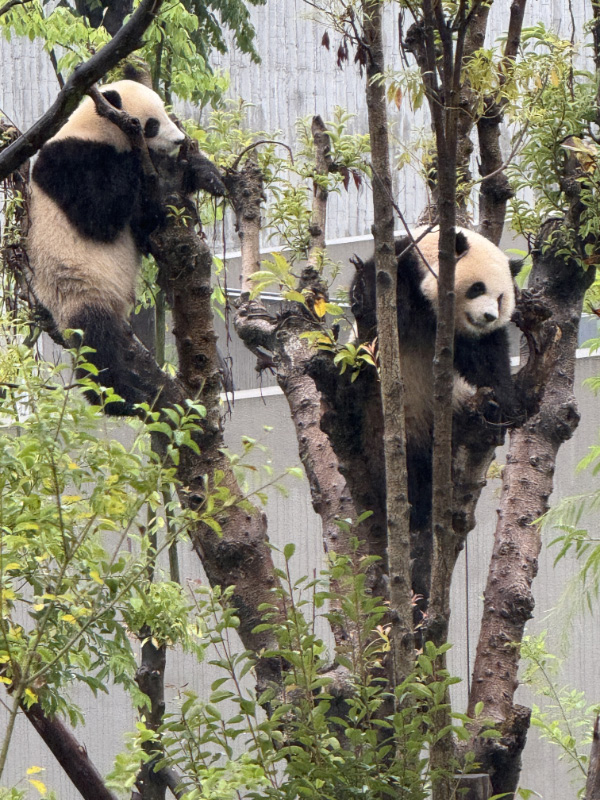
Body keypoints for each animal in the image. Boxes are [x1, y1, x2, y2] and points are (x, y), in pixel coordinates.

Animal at [27, 79, 225, 412]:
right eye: (152, 123)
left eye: (167, 114)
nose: (179, 139)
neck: (94, 129)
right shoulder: (70, 161)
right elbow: (99, 214)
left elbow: (155, 204)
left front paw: (209, 175)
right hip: (78, 288)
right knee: (95, 345)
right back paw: (116, 396)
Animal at [351, 226, 521, 531]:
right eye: (478, 288)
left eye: (501, 298)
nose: (489, 316)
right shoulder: (400, 264)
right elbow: (374, 299)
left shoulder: (470, 337)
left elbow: (487, 358)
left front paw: (505, 403)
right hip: (374, 410)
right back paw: (411, 509)